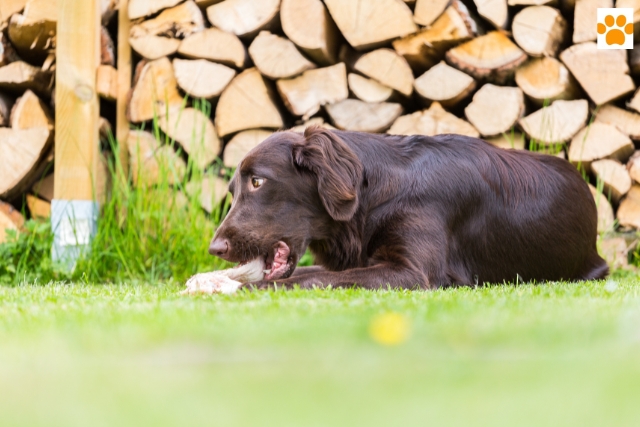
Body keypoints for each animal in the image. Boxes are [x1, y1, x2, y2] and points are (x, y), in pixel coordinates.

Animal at [182, 125, 608, 296]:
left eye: (258, 182)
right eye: (234, 189)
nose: (215, 249)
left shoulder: (412, 274)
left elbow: (311, 278)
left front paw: (229, 285)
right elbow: (309, 273)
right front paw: (209, 278)